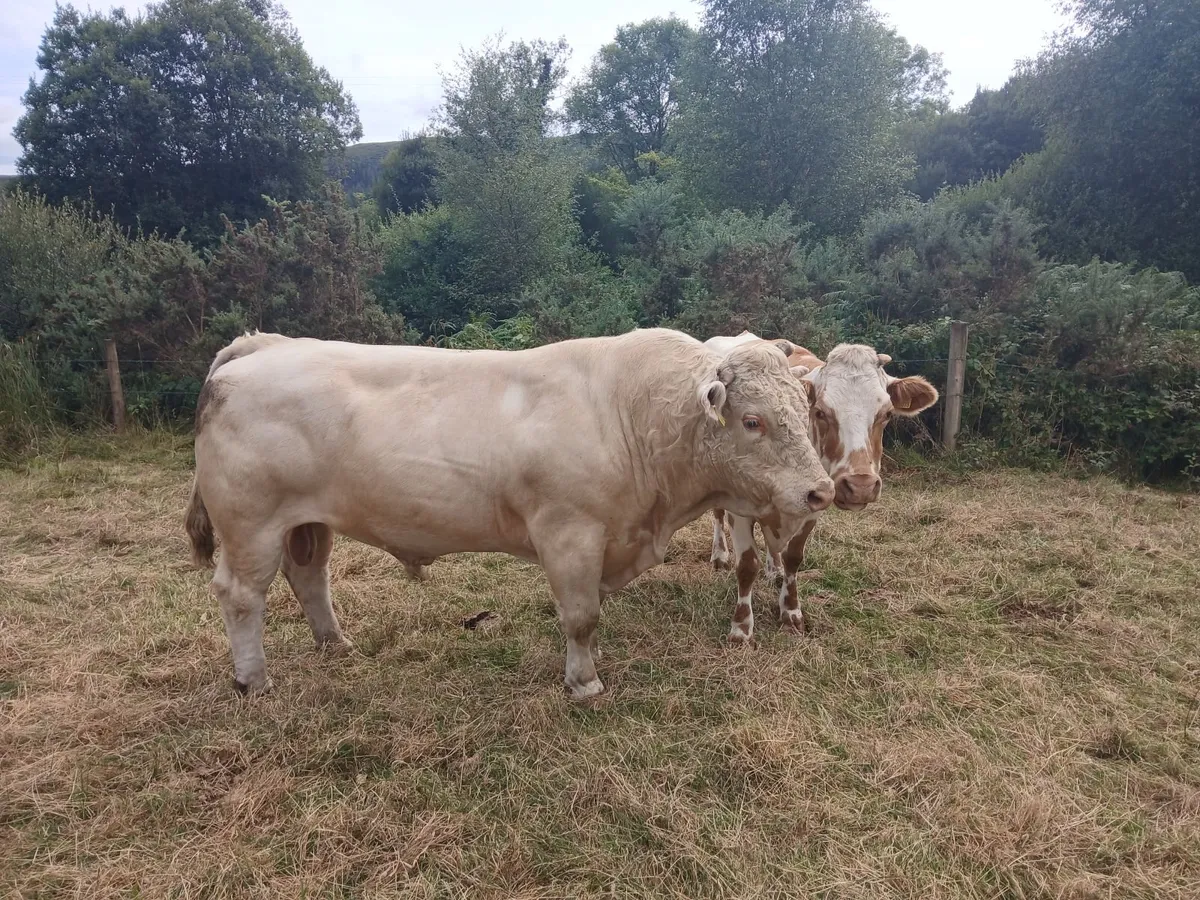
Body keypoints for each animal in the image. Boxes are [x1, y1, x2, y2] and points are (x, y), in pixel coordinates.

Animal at [185, 328, 835, 699]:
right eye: (752, 420)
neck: (632, 414)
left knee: (309, 577)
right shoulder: (569, 534)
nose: (820, 491)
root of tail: (259, 347)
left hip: (306, 522)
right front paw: (585, 682)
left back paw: (335, 645)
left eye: (803, 411)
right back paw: (253, 680)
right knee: (241, 596)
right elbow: (581, 617)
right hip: (252, 525)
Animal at [704, 332, 939, 643]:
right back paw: (720, 555)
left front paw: (791, 612)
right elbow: (746, 565)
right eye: (821, 412)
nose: (860, 486)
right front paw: (741, 627)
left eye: (886, 414)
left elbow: (794, 558)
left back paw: (774, 568)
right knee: (718, 515)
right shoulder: (739, 509)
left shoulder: (815, 502)